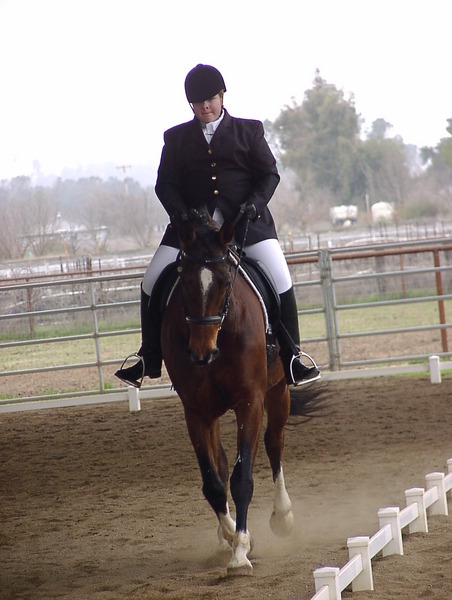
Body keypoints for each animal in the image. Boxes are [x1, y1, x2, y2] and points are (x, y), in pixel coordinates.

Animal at [160, 210, 318, 572]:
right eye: (184, 281)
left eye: (224, 281)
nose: (201, 353)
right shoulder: (196, 410)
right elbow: (214, 483)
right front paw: (232, 536)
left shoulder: (251, 401)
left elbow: (242, 477)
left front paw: (241, 551)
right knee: (220, 461)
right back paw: (225, 535)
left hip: (278, 390)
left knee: (274, 444)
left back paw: (282, 516)